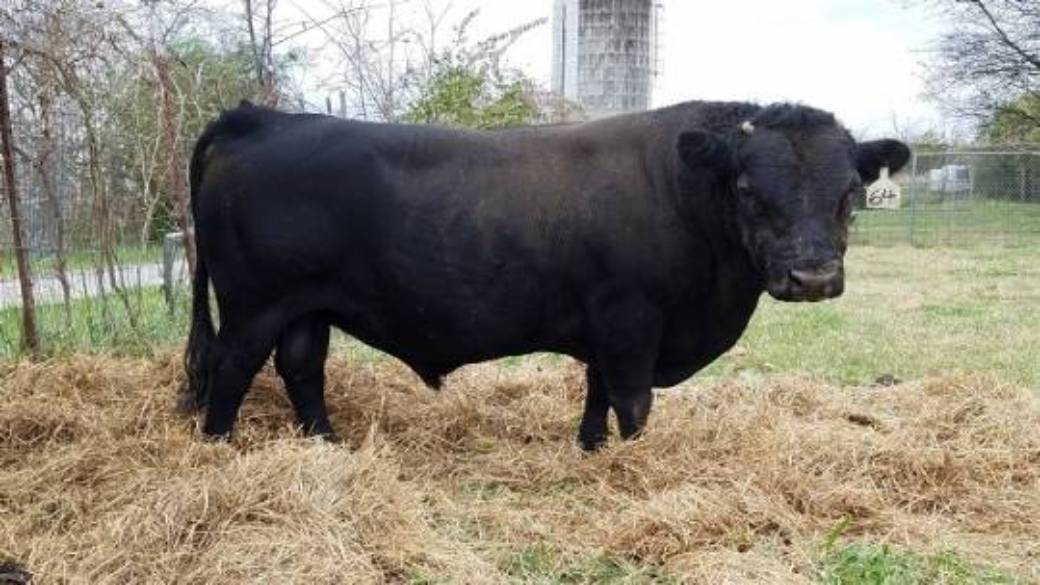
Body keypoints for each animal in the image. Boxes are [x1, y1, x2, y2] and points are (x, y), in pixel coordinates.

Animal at [181, 100, 910, 450]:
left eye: (850, 192)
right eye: (749, 190)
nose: (813, 276)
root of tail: (256, 117)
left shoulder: (607, 324)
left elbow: (598, 392)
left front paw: (590, 450)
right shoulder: (631, 319)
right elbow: (633, 400)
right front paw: (632, 461)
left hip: (306, 305)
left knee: (302, 365)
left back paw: (327, 446)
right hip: (253, 303)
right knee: (231, 364)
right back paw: (220, 447)